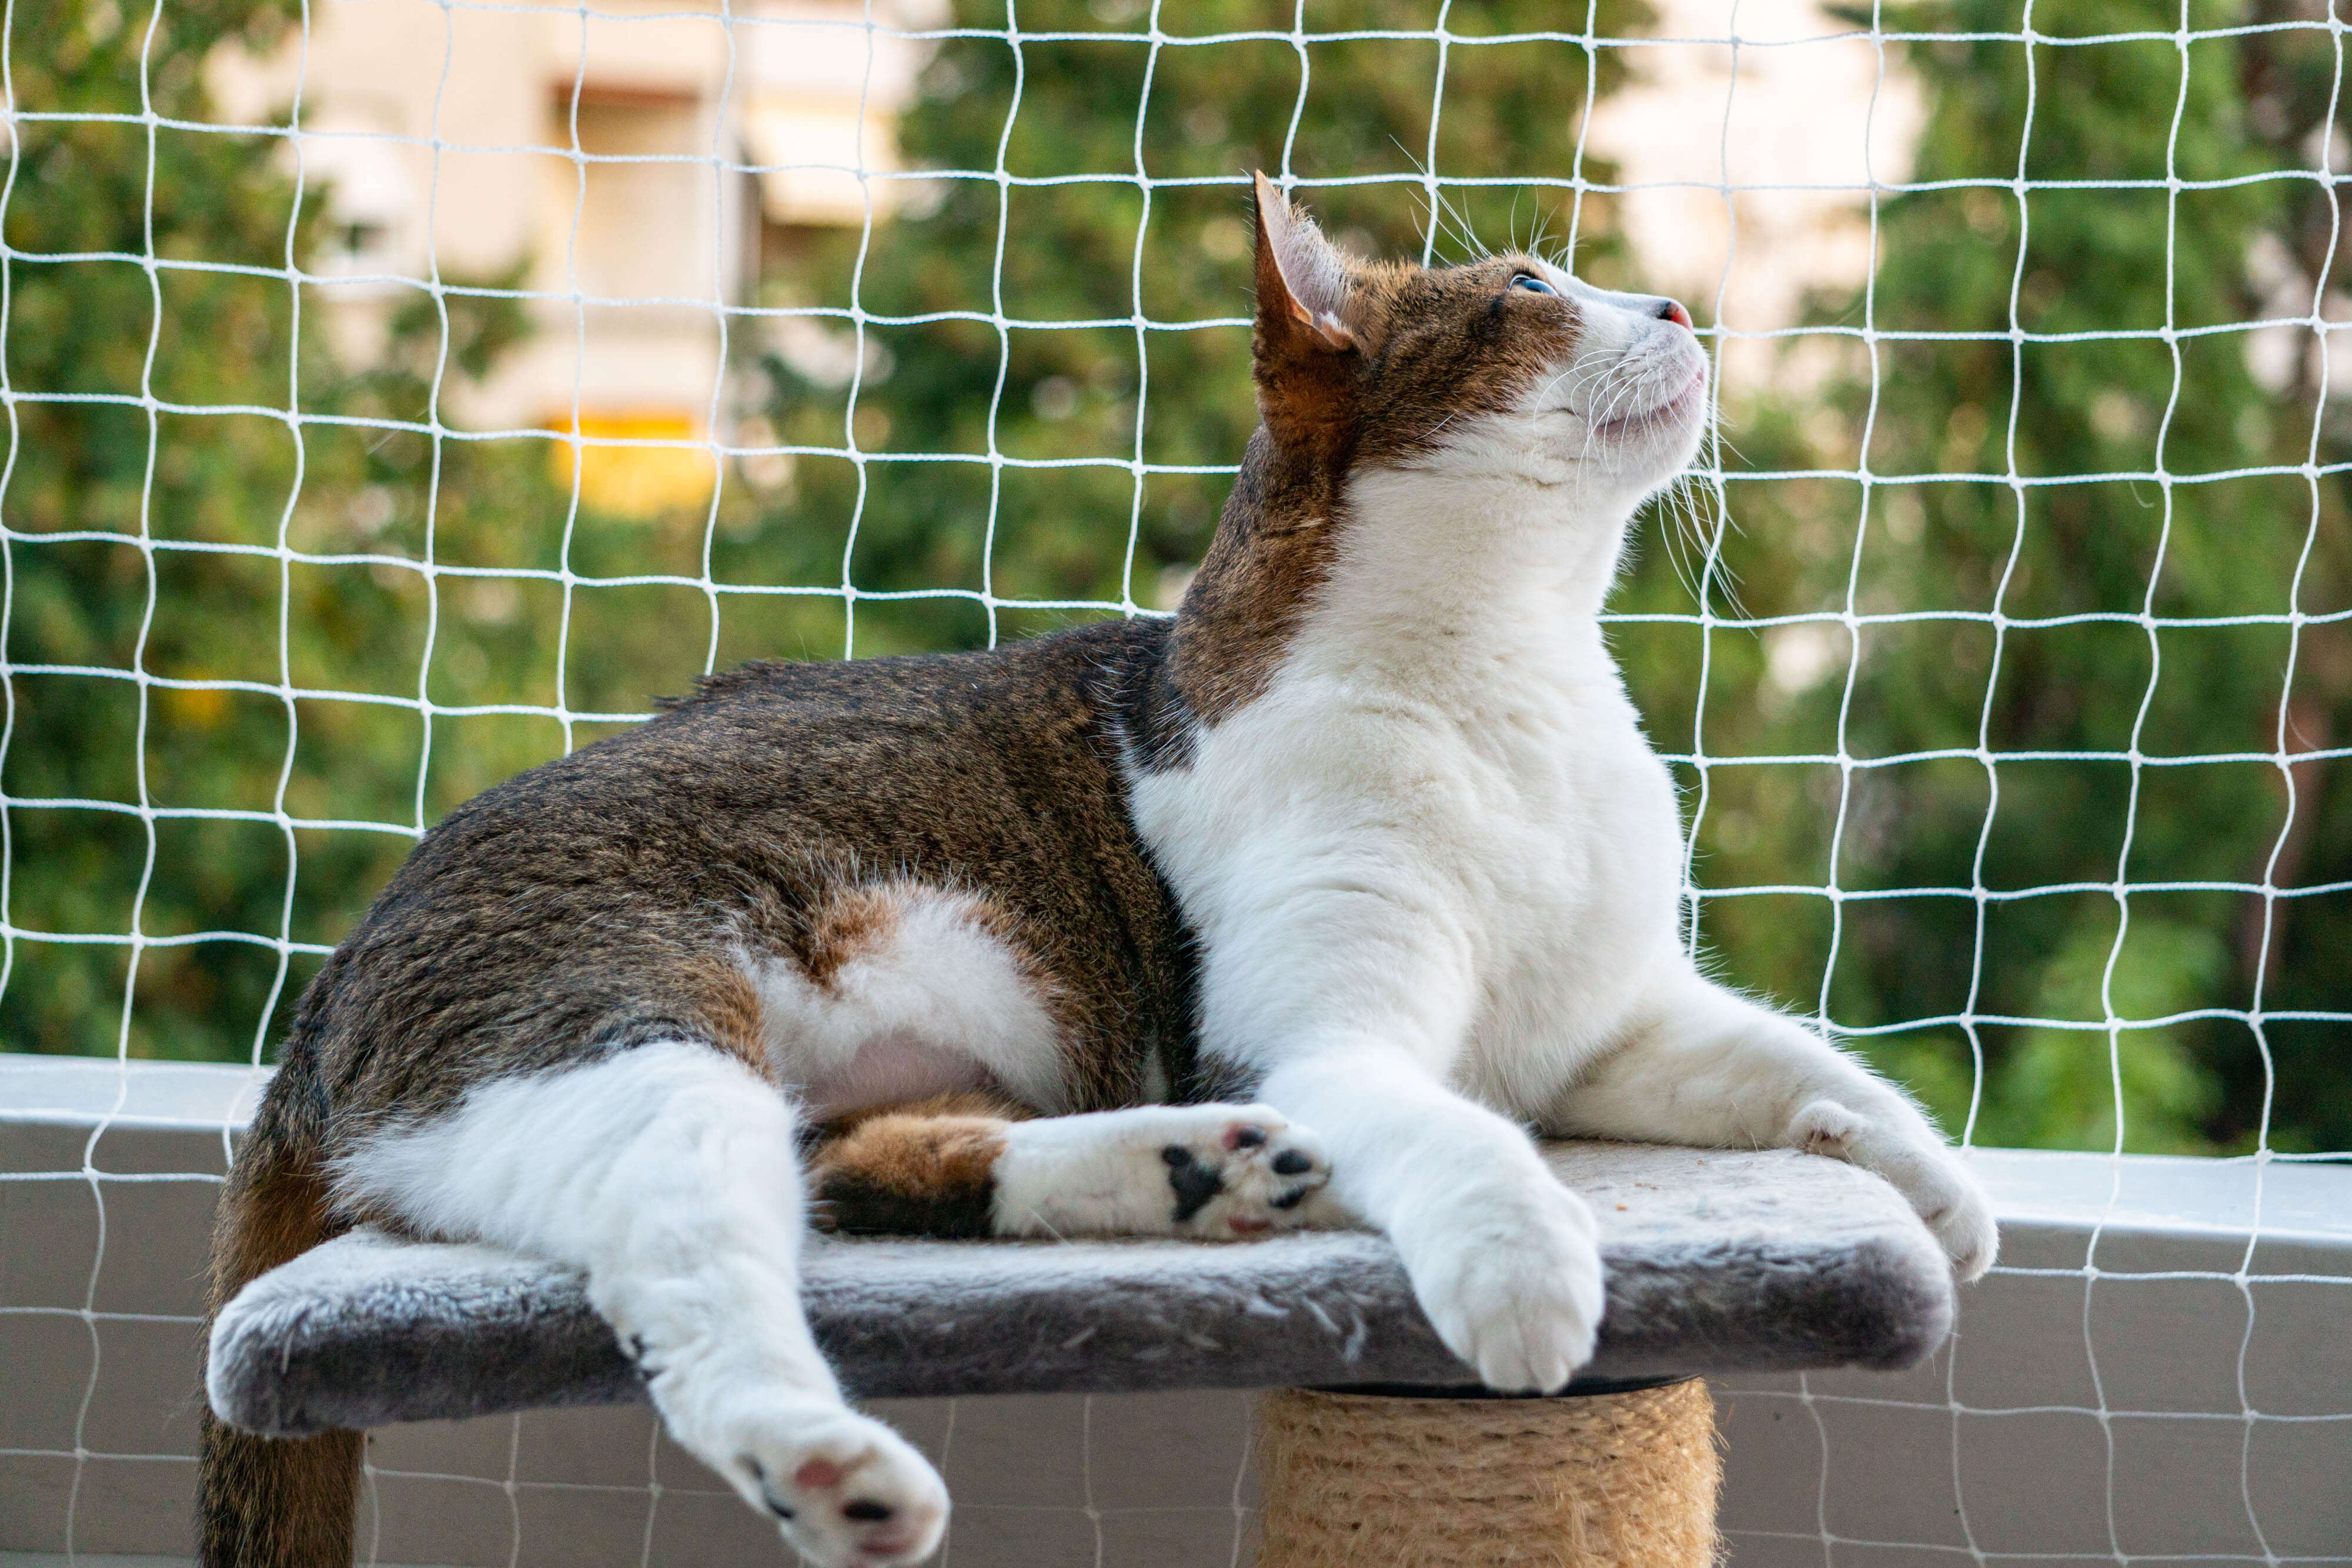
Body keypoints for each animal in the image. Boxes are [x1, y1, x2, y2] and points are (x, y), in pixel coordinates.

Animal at [202, 175, 1994, 1568]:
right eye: (1533, 291)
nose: (1683, 301)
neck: (1519, 685)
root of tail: (328, 987)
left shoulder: (1609, 1022)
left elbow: (1794, 1061)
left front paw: (1932, 1189)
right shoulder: (1314, 1036)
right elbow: (1469, 1136)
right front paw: (1530, 1274)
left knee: (855, 1164)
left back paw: (1194, 1171)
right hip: (620, 1026)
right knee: (692, 1266)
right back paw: (837, 1460)